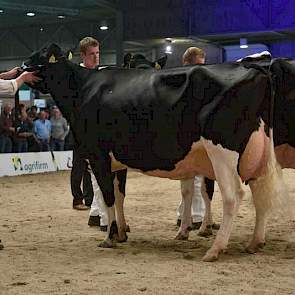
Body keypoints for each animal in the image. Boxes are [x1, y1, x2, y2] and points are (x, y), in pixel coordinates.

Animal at [24, 43, 290, 262]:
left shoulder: (98, 155)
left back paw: (215, 249)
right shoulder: (117, 161)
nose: (23, 67)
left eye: (40, 56)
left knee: (233, 196)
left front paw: (109, 237)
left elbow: (109, 196)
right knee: (260, 192)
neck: (83, 89)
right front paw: (122, 232)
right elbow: (120, 196)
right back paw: (254, 243)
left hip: (222, 151)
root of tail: (255, 69)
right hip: (255, 154)